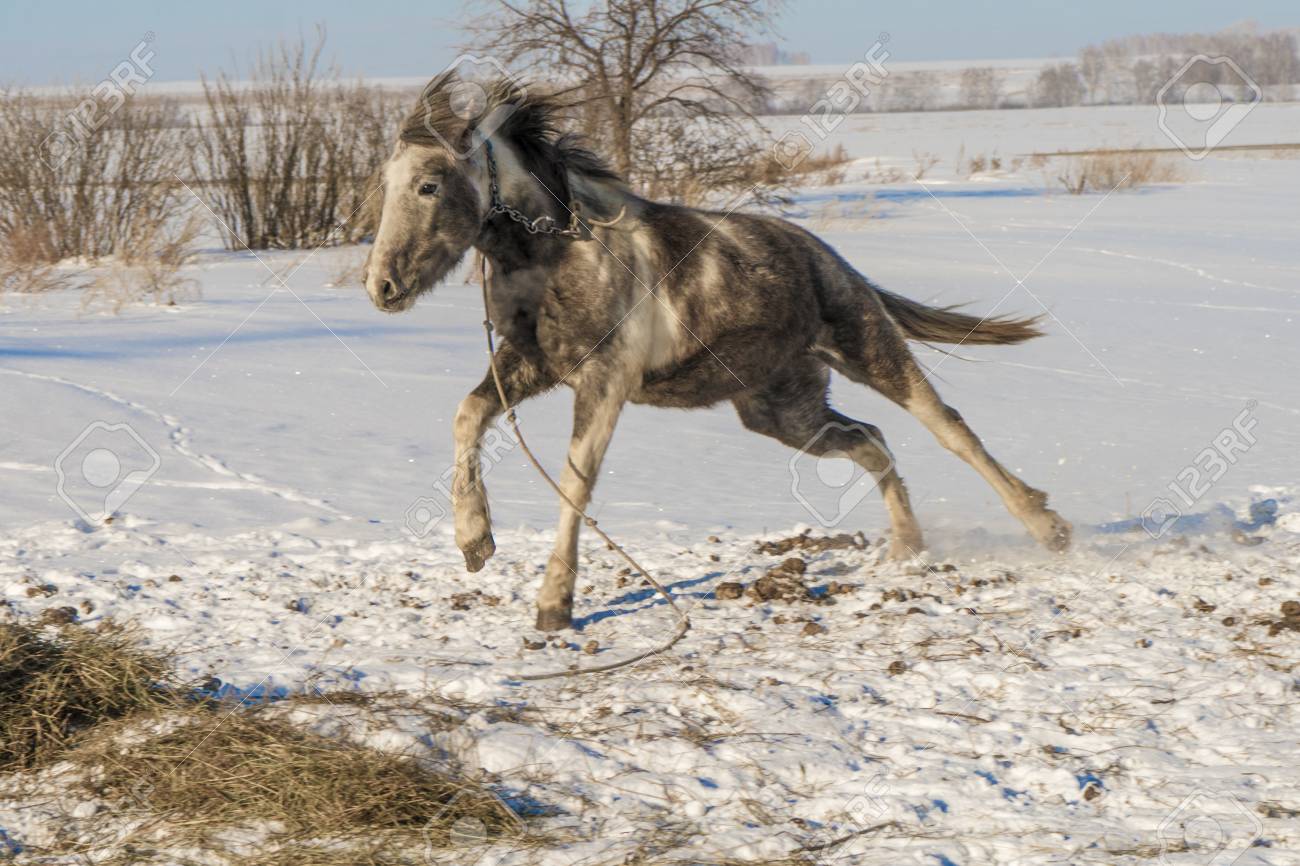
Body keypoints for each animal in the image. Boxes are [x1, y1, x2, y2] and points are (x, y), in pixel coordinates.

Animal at [364, 73, 1071, 632]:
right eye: (386, 183)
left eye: (429, 185)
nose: (381, 286)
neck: (559, 252)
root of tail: (831, 259)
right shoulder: (529, 364)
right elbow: (468, 415)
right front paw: (474, 542)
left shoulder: (604, 381)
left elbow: (574, 481)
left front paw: (553, 605)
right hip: (781, 410)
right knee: (870, 440)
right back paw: (906, 550)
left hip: (869, 351)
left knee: (950, 430)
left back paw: (1047, 528)